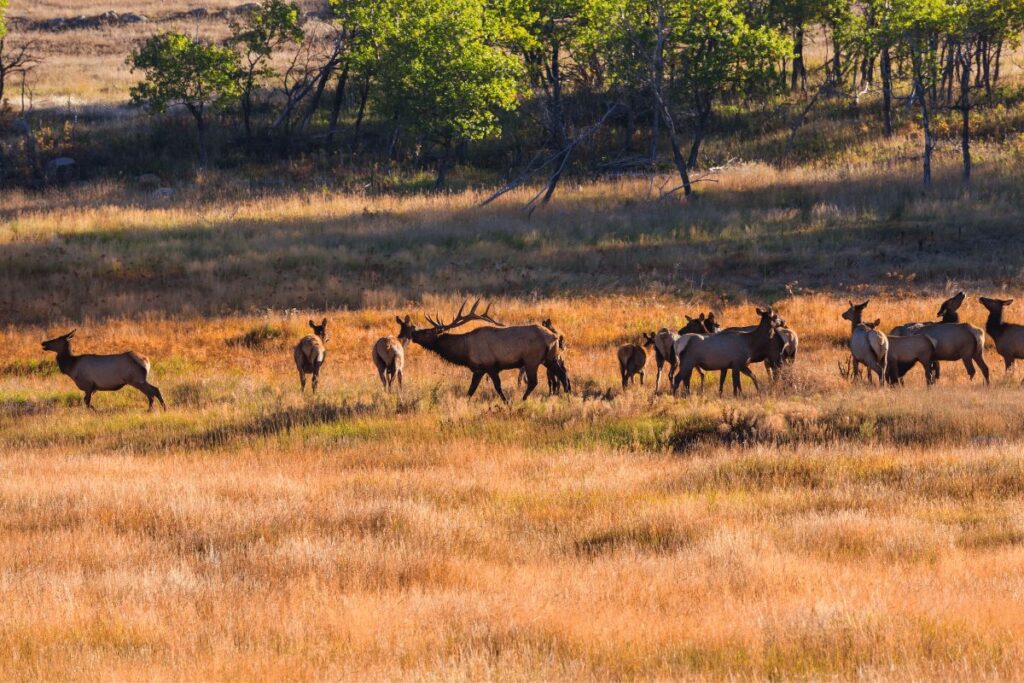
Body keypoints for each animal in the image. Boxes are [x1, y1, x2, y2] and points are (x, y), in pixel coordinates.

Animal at [397, 299, 561, 401]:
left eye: (426, 332)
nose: (413, 333)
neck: (464, 352)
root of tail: (555, 337)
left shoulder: (490, 365)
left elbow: (498, 387)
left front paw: (507, 402)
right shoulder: (479, 369)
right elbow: (471, 390)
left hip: (531, 360)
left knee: (534, 382)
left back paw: (523, 399)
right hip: (549, 359)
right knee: (561, 374)